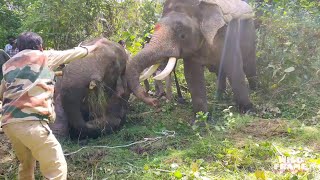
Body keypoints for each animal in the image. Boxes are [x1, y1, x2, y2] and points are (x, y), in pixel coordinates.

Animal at [125, 0, 258, 118]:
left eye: (182, 35)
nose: (155, 102)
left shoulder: (226, 32)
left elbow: (233, 66)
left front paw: (248, 111)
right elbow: (192, 75)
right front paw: (200, 120)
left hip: (250, 31)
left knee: (249, 63)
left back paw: (255, 90)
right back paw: (219, 97)